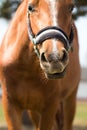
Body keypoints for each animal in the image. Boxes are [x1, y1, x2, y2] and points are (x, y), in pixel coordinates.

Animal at [0, 0, 80, 130]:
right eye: (30, 7)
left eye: (71, 8)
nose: (54, 57)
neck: (26, 69)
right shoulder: (10, 105)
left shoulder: (50, 107)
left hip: (70, 100)